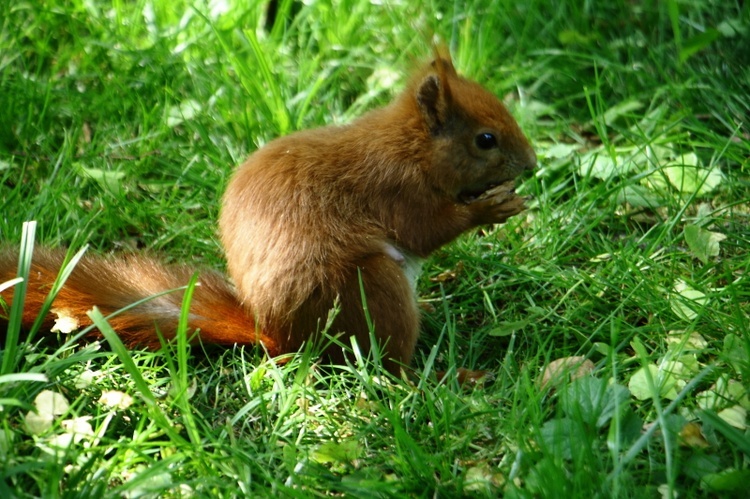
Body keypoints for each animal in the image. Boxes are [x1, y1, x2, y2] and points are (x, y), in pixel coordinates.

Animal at [1, 56, 540, 374]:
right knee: (386, 365)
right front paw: (492, 207)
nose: (533, 164)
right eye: (485, 140)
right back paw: (446, 376)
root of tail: (278, 338)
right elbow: (425, 230)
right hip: (370, 286)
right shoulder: (396, 189)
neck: (410, 147)